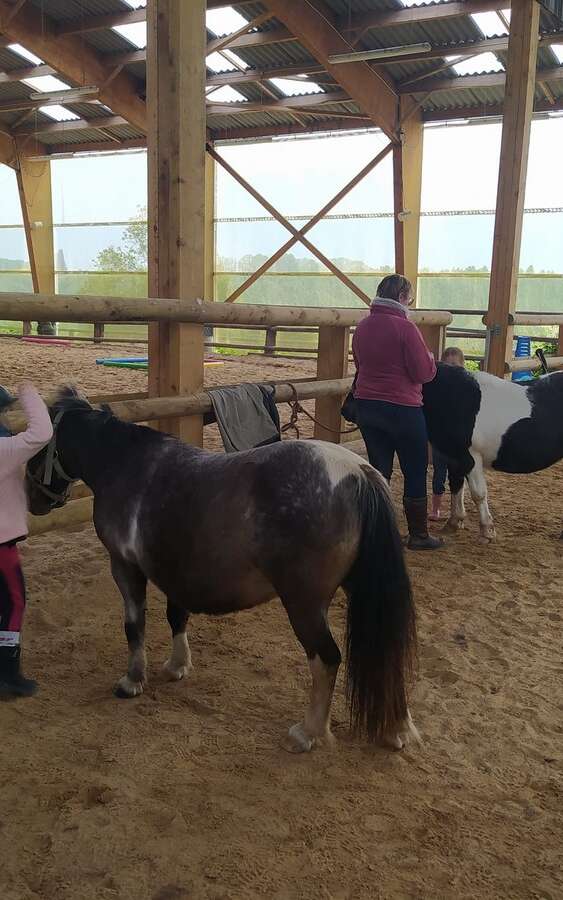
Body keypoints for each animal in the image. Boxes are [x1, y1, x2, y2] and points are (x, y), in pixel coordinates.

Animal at [424, 360, 563, 540]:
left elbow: (478, 493)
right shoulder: (455, 458)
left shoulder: (471, 457)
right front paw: (454, 522)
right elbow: (456, 485)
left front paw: (487, 530)